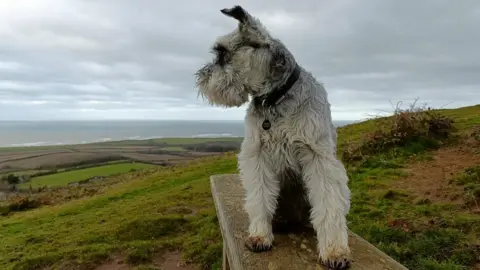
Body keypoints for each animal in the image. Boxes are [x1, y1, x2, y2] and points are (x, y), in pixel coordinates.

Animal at [196, 5, 352, 268]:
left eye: (222, 53)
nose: (201, 78)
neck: (275, 99)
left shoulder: (318, 156)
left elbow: (328, 202)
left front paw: (334, 251)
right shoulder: (257, 154)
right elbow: (259, 197)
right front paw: (260, 234)